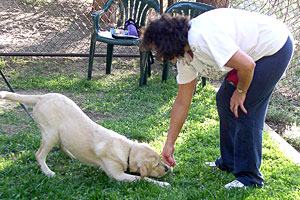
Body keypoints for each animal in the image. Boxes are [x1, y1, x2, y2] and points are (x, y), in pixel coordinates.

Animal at [0, 91, 171, 187]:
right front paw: (163, 183)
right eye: (156, 164)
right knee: (39, 154)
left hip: (59, 133)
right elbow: (143, 179)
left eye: (160, 160)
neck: (127, 150)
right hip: (51, 134)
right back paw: (48, 172)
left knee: (62, 144)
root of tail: (41, 97)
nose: (167, 169)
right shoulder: (118, 176)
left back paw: (72, 156)